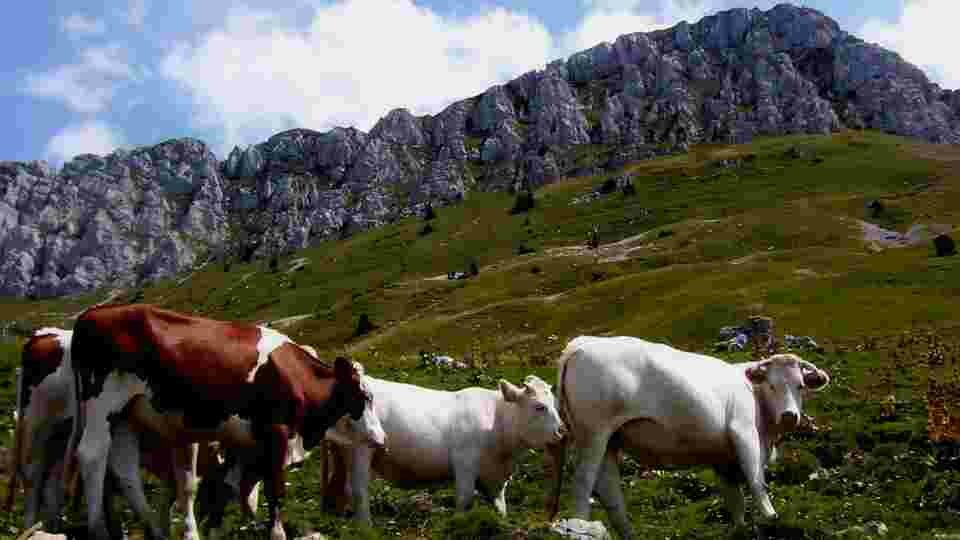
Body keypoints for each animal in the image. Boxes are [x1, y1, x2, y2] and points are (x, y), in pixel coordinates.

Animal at [61, 304, 386, 540]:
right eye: (365, 396)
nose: (381, 439)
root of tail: (92, 314)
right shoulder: (277, 432)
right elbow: (275, 490)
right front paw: (277, 533)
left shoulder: (242, 442)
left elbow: (227, 487)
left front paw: (213, 529)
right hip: (102, 402)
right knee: (91, 455)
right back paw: (100, 530)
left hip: (126, 416)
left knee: (123, 467)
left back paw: (153, 528)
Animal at [322, 374, 568, 520]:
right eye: (539, 406)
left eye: (554, 403)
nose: (562, 432)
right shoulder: (465, 464)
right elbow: (465, 500)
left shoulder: (495, 479)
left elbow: (501, 507)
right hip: (361, 448)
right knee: (358, 491)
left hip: (341, 452)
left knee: (338, 490)